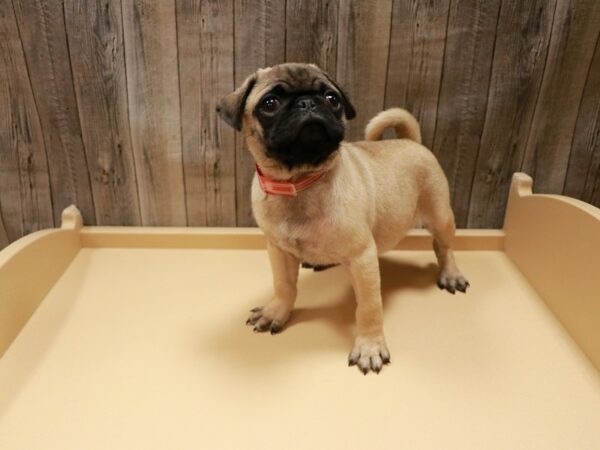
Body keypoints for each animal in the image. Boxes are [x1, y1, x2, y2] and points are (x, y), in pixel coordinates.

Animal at [217, 62, 468, 372]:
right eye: (270, 103)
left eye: (332, 98)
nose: (307, 102)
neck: (301, 182)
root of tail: (410, 141)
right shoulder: (279, 251)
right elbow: (284, 286)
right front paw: (276, 311)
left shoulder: (362, 258)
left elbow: (369, 307)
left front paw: (369, 346)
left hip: (440, 215)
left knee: (443, 246)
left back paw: (451, 274)